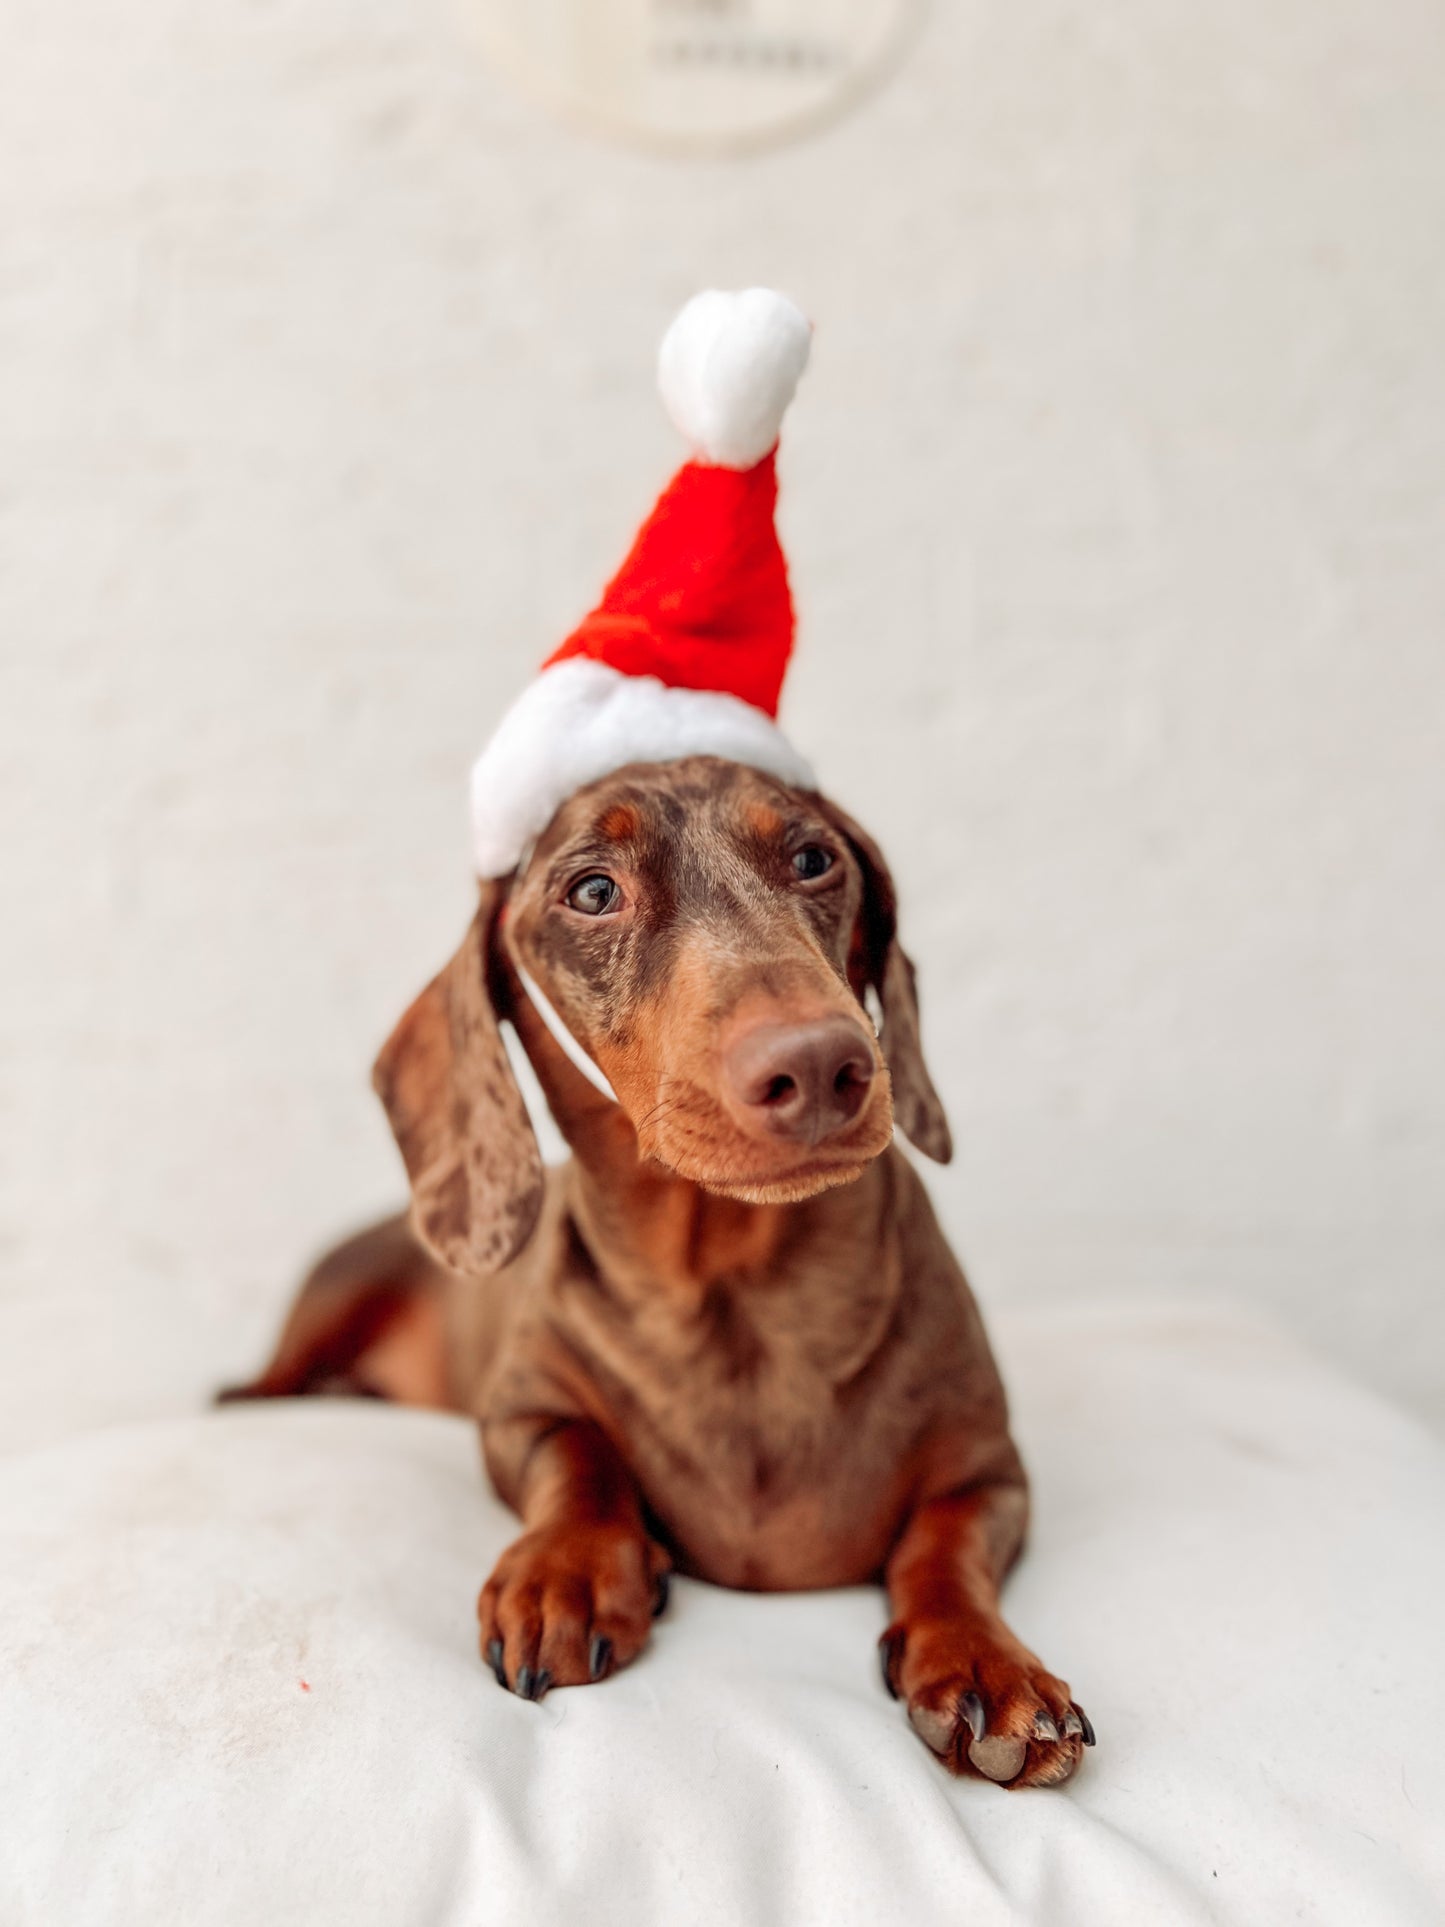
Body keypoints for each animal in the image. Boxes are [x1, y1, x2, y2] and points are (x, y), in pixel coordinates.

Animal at [232, 751, 1094, 1788]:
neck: (741, 1300)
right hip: (332, 1294)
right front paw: (568, 1570)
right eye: (593, 890)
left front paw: (981, 1660)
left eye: (814, 858)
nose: (821, 1065)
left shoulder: (991, 1471)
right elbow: (579, 1456)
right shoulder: (517, 1413)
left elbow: (944, 1542)